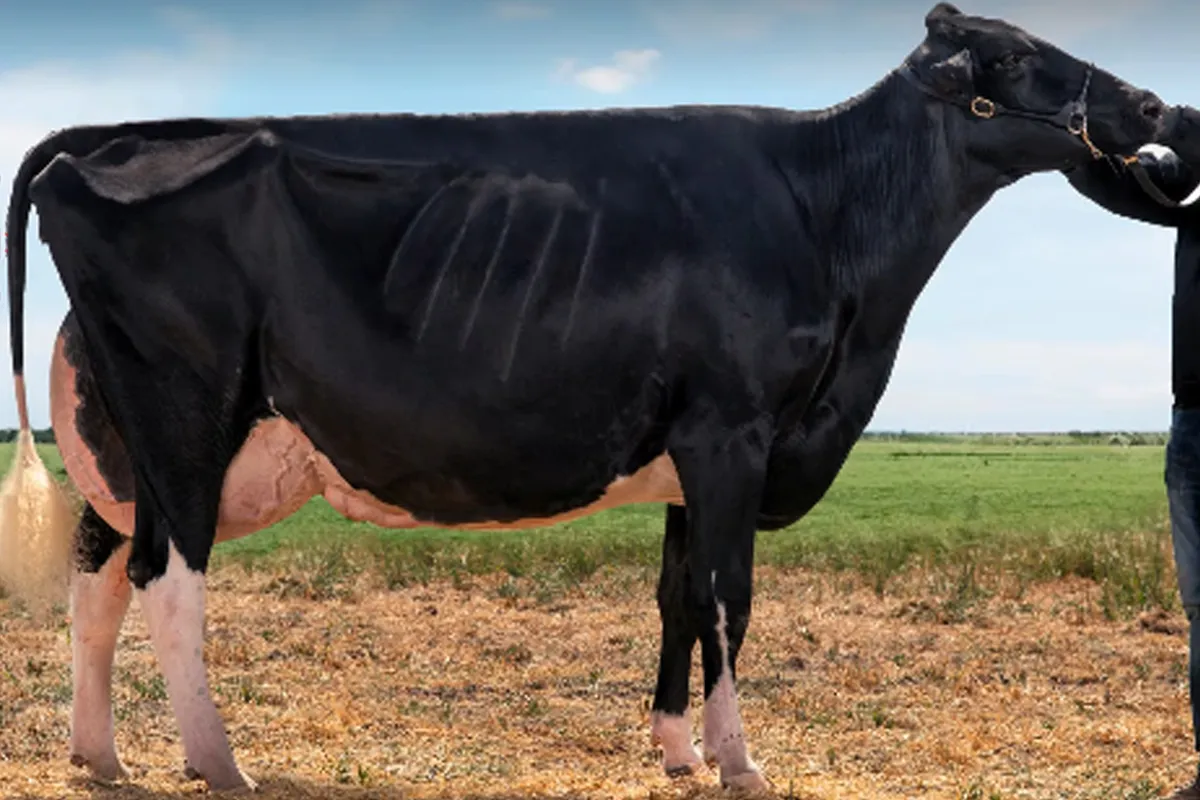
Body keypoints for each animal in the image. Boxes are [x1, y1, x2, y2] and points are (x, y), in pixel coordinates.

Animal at [0, 3, 1175, 794]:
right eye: (1014, 56)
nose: (1153, 101)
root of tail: (110, 136)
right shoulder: (733, 429)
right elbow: (728, 597)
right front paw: (740, 763)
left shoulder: (692, 456)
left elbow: (675, 596)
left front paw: (676, 752)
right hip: (186, 410)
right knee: (168, 577)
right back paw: (218, 761)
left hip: (125, 435)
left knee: (99, 573)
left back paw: (99, 756)